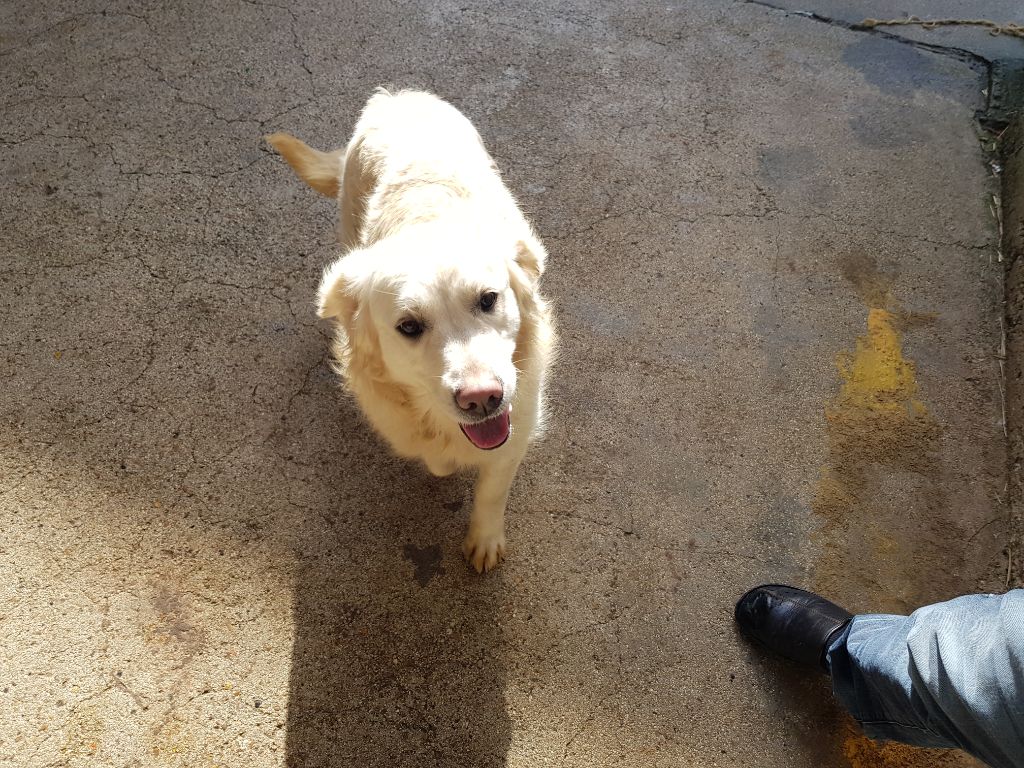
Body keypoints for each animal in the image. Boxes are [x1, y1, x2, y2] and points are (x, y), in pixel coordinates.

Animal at [264, 88, 552, 573]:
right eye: (409, 326)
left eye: (488, 299)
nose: (482, 399)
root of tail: (394, 96)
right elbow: (437, 458)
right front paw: (446, 463)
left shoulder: (518, 422)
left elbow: (492, 491)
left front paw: (484, 539)